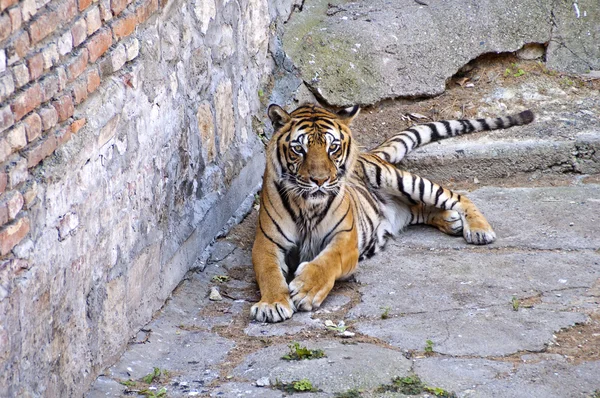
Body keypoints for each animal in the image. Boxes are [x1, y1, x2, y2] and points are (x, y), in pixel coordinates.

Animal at [251, 103, 532, 324]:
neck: (307, 206)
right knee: (418, 208)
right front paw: (272, 304)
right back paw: (451, 221)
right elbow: (269, 273)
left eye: (333, 148)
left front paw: (306, 289)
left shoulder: (345, 239)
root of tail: (370, 154)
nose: (320, 181)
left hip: (400, 179)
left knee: (458, 196)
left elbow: (327, 262)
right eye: (299, 149)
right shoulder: (266, 242)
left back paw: (478, 230)